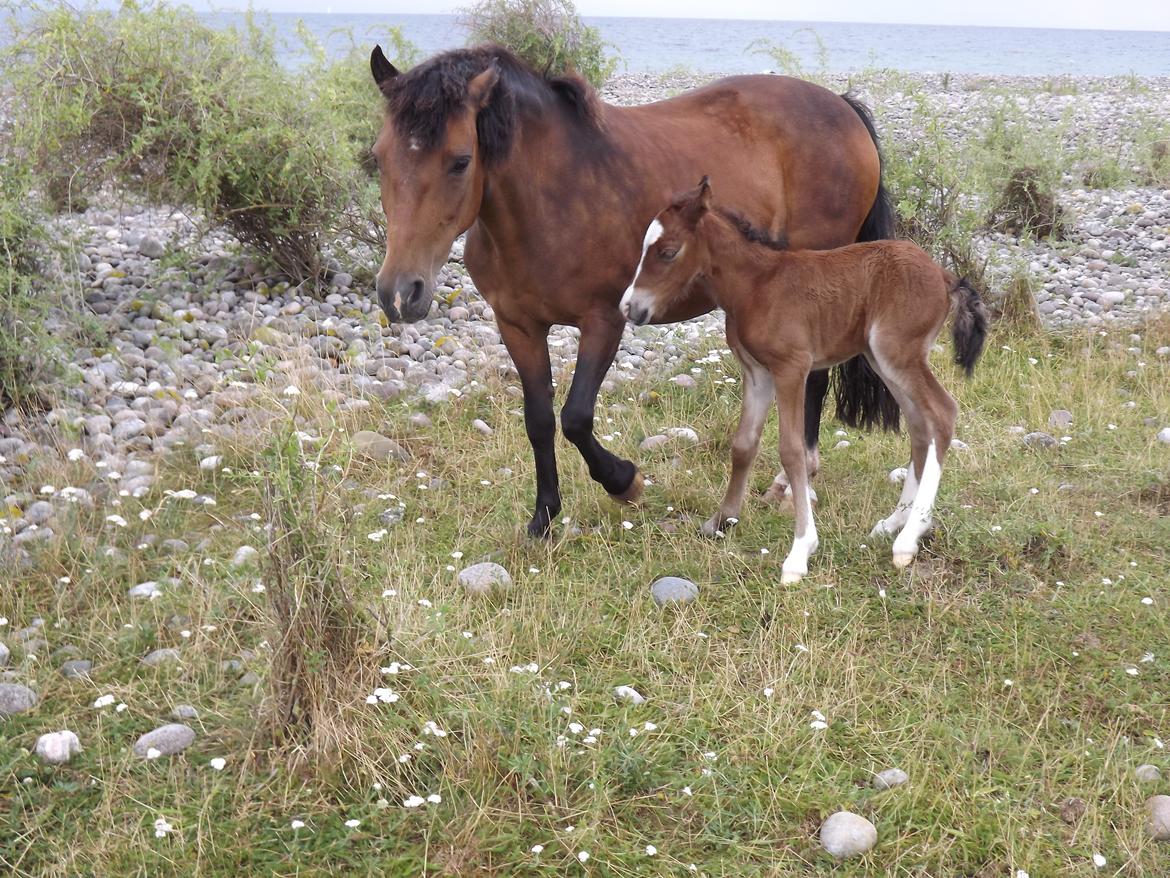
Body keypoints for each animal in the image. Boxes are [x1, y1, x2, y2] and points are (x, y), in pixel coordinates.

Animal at [622, 177, 987, 578]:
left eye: (668, 252)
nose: (630, 307)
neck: (756, 285)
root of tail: (945, 276)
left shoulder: (791, 368)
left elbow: (792, 451)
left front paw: (800, 551)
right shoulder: (757, 372)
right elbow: (744, 444)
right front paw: (721, 520)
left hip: (898, 353)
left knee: (942, 413)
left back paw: (908, 539)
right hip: (882, 359)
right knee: (920, 427)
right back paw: (894, 523)